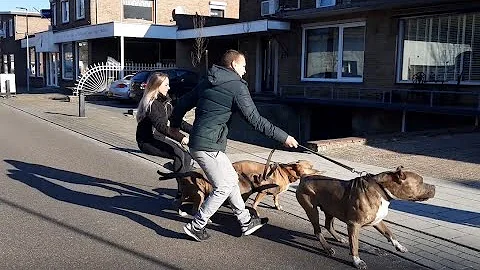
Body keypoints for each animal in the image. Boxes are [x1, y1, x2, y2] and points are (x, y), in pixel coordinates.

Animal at [296, 167, 436, 270]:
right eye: (421, 181)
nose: (434, 187)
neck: (381, 188)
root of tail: (304, 178)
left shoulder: (377, 220)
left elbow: (389, 233)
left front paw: (399, 246)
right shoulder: (354, 225)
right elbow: (354, 245)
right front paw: (357, 261)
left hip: (331, 208)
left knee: (328, 225)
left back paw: (339, 238)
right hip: (312, 210)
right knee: (317, 231)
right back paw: (327, 248)